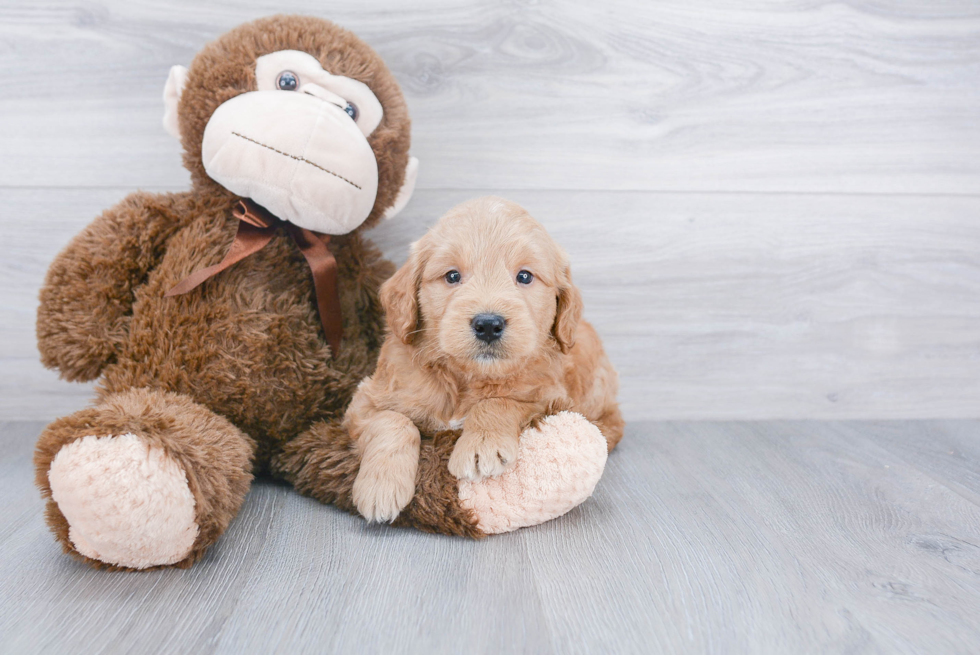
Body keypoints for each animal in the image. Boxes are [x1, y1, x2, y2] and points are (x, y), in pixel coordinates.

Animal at [348, 196, 624, 524]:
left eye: (524, 276)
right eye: (452, 276)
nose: (489, 324)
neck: (467, 378)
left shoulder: (551, 398)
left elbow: (499, 402)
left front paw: (481, 445)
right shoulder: (365, 400)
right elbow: (392, 420)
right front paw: (381, 487)